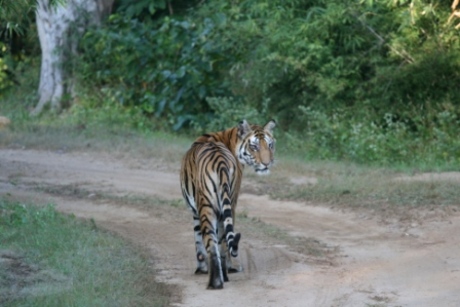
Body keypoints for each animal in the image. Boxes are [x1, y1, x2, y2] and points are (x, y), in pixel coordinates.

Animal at [180, 119, 274, 290]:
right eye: (254, 146)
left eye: (270, 145)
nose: (266, 164)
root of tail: (219, 161)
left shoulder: (196, 211)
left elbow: (198, 240)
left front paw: (202, 269)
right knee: (221, 243)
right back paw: (221, 277)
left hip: (208, 207)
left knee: (214, 243)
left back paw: (217, 280)